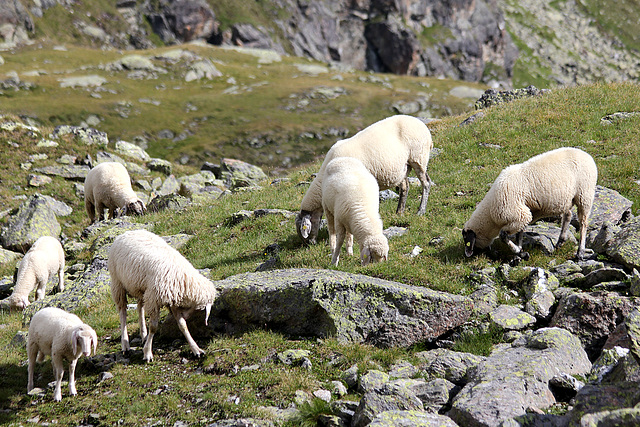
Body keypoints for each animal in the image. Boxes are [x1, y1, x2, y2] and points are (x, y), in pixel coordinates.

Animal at [109, 229, 219, 362]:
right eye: (202, 309)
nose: (186, 315)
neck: (184, 280)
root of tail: (127, 232)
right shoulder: (154, 299)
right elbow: (154, 327)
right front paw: (147, 353)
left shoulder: (173, 300)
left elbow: (183, 325)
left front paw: (196, 349)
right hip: (118, 282)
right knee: (122, 312)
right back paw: (125, 344)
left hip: (141, 287)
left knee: (140, 306)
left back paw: (143, 334)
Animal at [296, 113, 436, 246]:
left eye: (304, 229)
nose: (309, 244)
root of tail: (421, 124)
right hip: (402, 167)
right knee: (405, 187)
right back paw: (399, 212)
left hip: (418, 157)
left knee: (426, 183)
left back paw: (421, 210)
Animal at [462, 147, 596, 260]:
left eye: (466, 240)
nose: (468, 255)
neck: (490, 215)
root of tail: (586, 154)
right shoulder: (522, 214)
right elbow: (519, 235)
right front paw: (520, 250)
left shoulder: (518, 215)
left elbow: (503, 236)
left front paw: (518, 251)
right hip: (567, 199)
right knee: (568, 215)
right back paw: (560, 241)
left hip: (585, 195)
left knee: (583, 223)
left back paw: (580, 252)